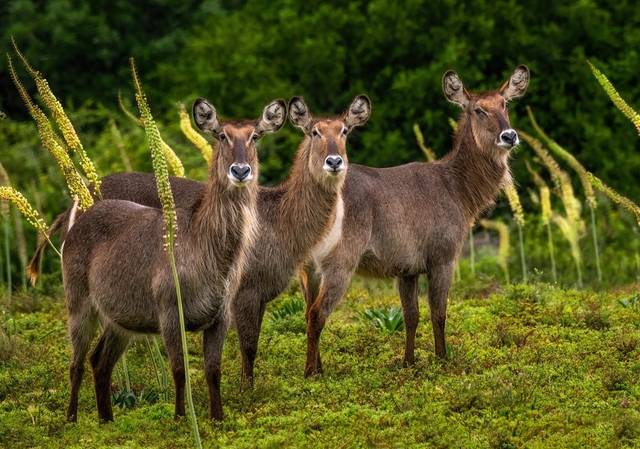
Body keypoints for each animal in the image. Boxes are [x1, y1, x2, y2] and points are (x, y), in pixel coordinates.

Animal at [60, 96, 284, 422]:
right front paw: (180, 419)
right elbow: (180, 371)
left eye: (255, 136)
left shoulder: (221, 316)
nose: (240, 170)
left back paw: (106, 421)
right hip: (78, 303)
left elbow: (213, 371)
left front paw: (218, 418)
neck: (213, 258)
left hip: (119, 320)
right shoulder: (169, 310)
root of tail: (75, 222)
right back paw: (72, 421)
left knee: (99, 361)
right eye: (222, 135)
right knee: (76, 362)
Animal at [300, 65, 528, 376]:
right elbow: (439, 312)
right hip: (340, 262)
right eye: (478, 109)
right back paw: (312, 374)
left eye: (505, 104)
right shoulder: (443, 256)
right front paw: (442, 360)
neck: (460, 191)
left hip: (307, 267)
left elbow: (411, 316)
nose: (510, 135)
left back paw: (317, 368)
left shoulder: (406, 268)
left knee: (307, 311)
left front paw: (408, 363)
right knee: (317, 313)